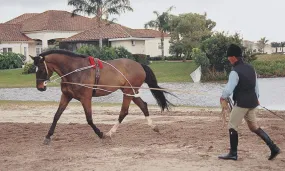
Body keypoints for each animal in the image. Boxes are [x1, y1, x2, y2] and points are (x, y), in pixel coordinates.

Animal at [31, 49, 173, 144]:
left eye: (41, 69)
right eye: (35, 70)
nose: (40, 87)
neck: (75, 71)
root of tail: (140, 65)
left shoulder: (86, 98)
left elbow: (89, 119)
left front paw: (100, 134)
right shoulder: (66, 96)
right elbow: (56, 116)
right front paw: (48, 136)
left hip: (128, 92)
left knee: (124, 112)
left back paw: (110, 133)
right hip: (131, 92)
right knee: (143, 106)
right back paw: (154, 127)